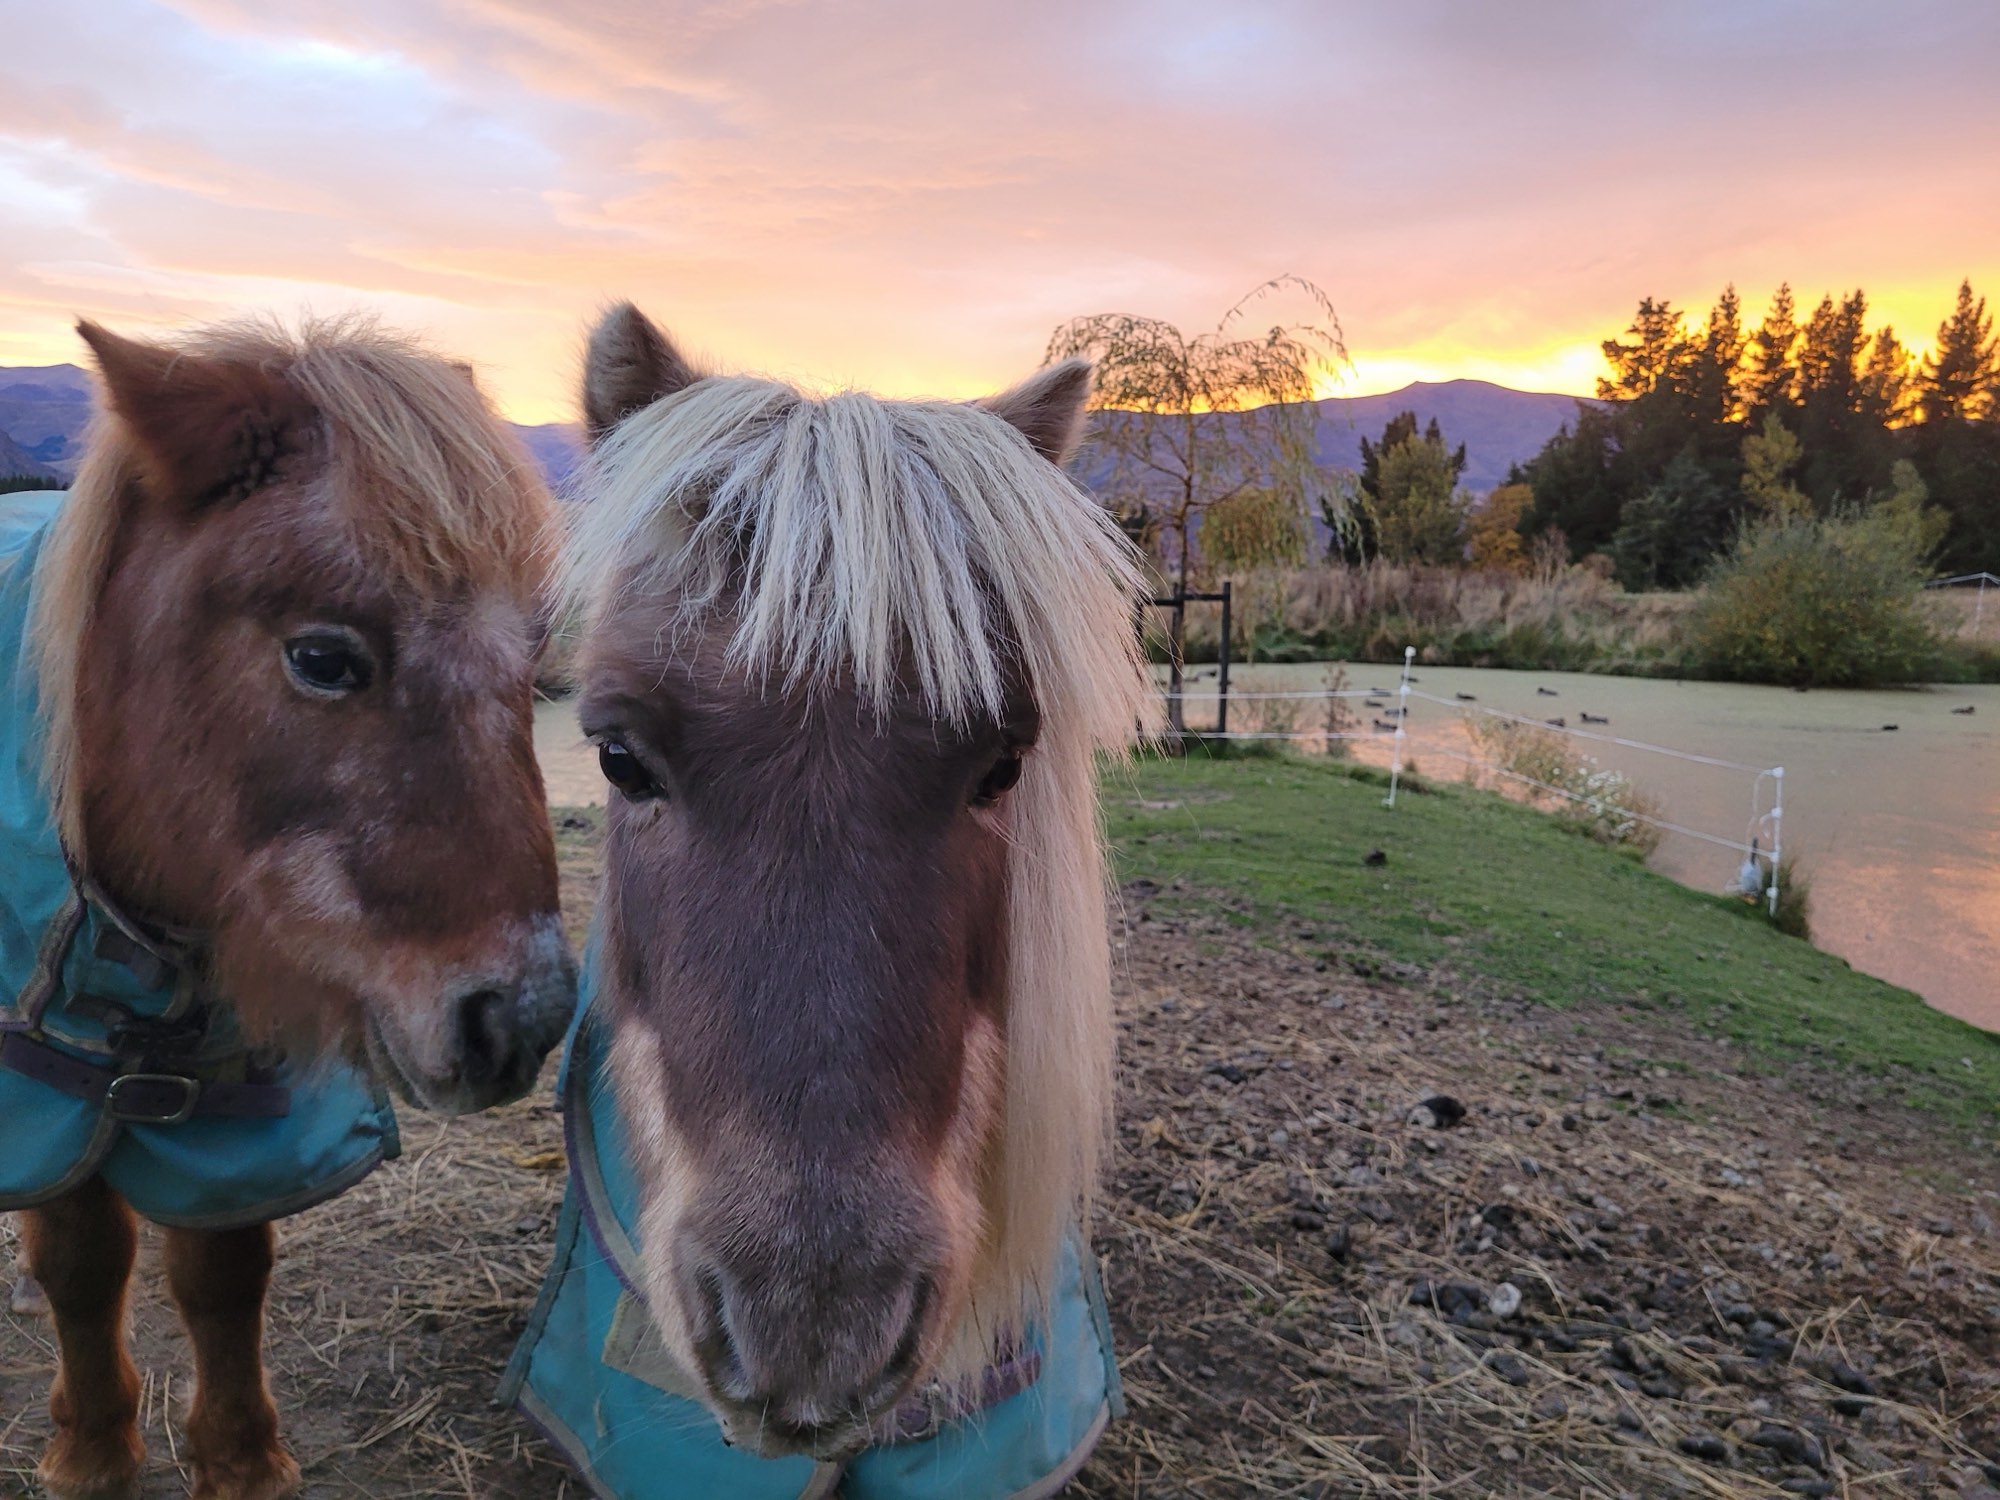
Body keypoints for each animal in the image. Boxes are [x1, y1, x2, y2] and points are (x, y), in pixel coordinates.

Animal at [1, 317, 577, 1500]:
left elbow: (223, 1271)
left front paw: (240, 1459)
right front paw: (94, 1450)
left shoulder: (241, 1108)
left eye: (534, 669)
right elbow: (84, 1262)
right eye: (322, 658)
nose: (522, 1020)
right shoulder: (48, 1088)